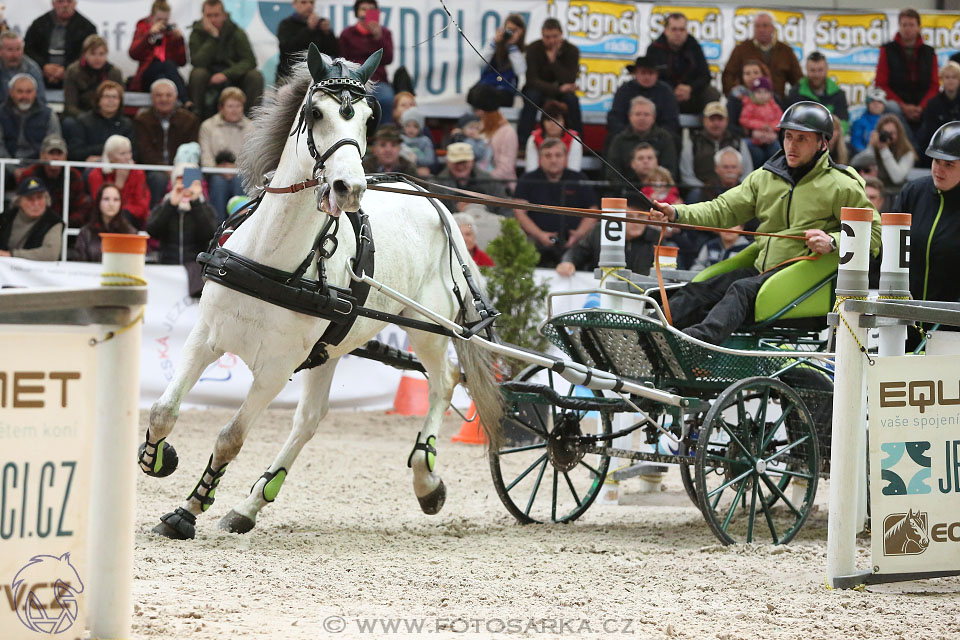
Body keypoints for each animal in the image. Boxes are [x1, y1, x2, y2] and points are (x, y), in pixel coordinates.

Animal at [142, 45, 506, 536]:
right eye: (315, 112)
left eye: (368, 119)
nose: (349, 187)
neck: (273, 261)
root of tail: (438, 207)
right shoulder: (206, 338)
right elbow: (163, 410)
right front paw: (157, 458)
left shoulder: (276, 369)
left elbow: (230, 438)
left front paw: (189, 510)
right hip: (331, 348)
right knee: (311, 420)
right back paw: (251, 505)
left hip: (427, 328)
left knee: (445, 380)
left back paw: (426, 479)